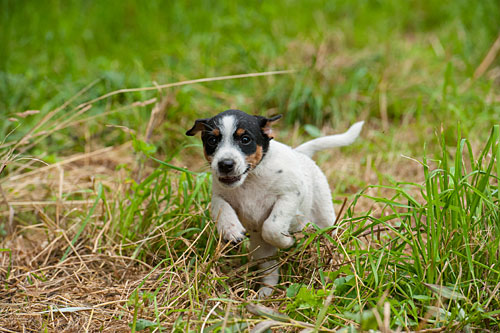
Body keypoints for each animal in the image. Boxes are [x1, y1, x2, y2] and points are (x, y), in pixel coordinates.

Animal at [186, 109, 362, 296]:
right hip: (262, 250)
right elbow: (221, 207)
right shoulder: (219, 194)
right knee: (270, 271)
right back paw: (265, 293)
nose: (225, 164)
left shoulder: (289, 195)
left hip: (324, 217)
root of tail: (299, 153)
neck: (250, 180)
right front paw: (231, 230)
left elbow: (272, 227)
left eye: (245, 139)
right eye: (212, 140)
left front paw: (287, 242)